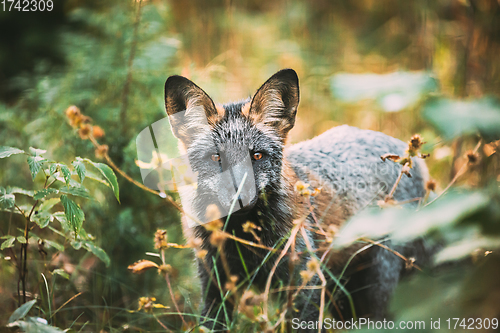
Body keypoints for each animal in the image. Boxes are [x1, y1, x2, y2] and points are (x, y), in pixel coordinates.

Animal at [164, 67, 430, 330]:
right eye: (216, 158)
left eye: (257, 156)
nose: (239, 196)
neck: (244, 239)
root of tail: (407, 154)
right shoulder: (214, 283)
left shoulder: (304, 282)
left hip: (377, 285)